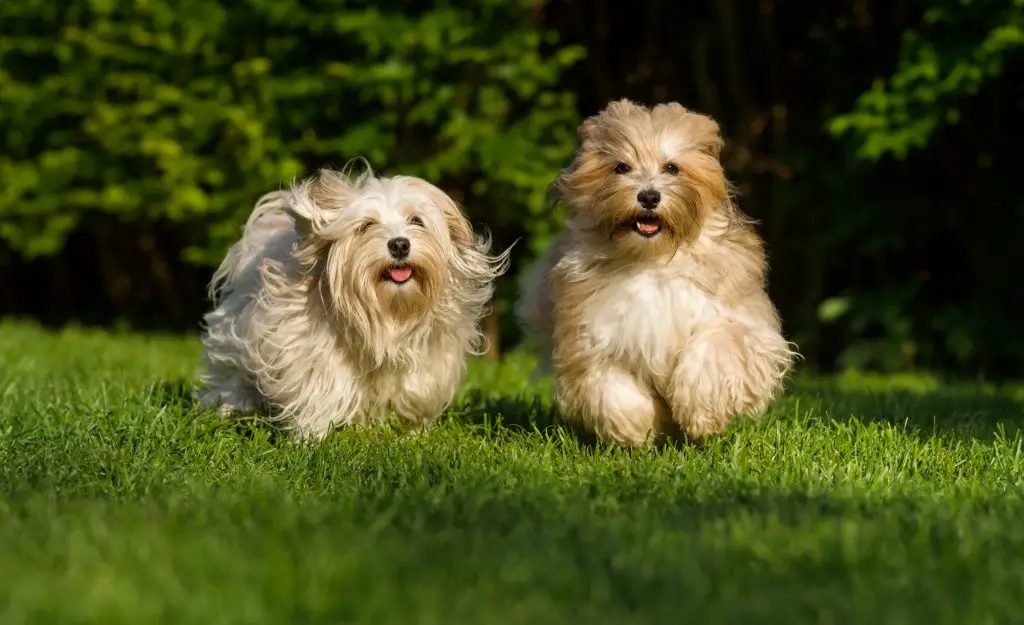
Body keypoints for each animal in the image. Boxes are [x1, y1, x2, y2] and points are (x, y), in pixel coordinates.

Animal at [194, 165, 507, 438]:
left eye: (417, 221)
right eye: (366, 226)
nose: (400, 244)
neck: (387, 311)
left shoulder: (430, 355)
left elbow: (415, 388)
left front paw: (411, 433)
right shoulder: (308, 345)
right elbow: (320, 386)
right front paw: (311, 439)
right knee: (232, 372)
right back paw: (235, 407)